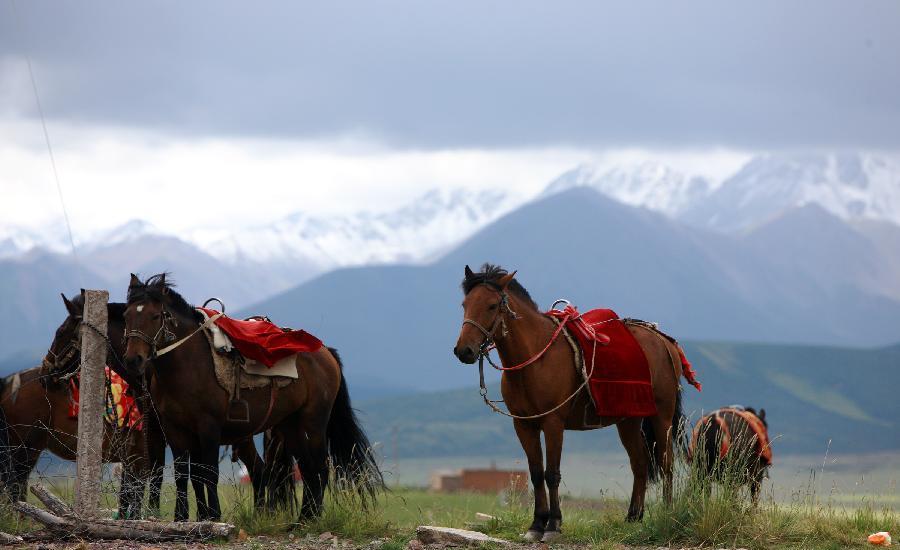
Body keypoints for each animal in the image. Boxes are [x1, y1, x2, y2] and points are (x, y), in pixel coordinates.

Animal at [119, 274, 380, 524]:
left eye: (155, 316)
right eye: (126, 315)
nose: (133, 360)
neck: (188, 365)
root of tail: (326, 352)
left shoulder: (209, 426)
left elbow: (209, 472)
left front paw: (213, 517)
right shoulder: (174, 429)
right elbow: (185, 474)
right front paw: (182, 518)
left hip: (313, 422)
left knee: (320, 468)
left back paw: (309, 519)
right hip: (291, 425)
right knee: (307, 468)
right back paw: (304, 518)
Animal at [454, 266, 692, 544]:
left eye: (492, 305)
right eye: (465, 304)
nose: (464, 351)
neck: (535, 357)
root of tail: (664, 340)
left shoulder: (553, 423)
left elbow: (552, 474)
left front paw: (553, 525)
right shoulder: (523, 425)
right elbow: (536, 473)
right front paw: (536, 524)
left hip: (661, 416)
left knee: (666, 462)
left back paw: (668, 512)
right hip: (628, 421)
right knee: (640, 462)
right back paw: (633, 517)